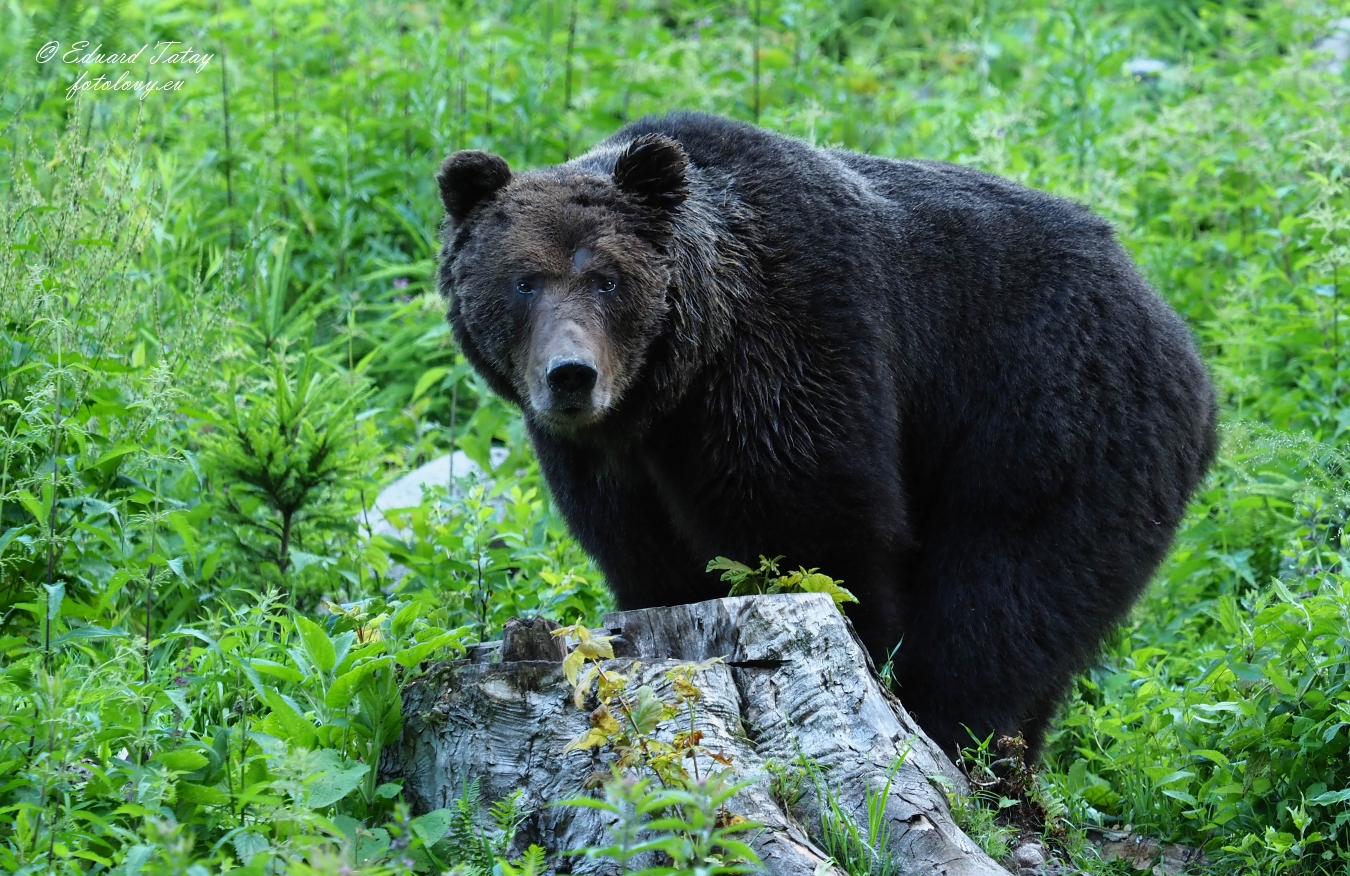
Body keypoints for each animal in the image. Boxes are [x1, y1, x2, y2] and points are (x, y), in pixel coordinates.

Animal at [434, 112, 1225, 755]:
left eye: (607, 280)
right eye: (523, 281)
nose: (571, 376)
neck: (675, 389)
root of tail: (1172, 326)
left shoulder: (794, 356)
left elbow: (819, 539)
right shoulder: (605, 465)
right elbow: (647, 563)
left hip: (1053, 419)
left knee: (1007, 596)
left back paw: (962, 738)